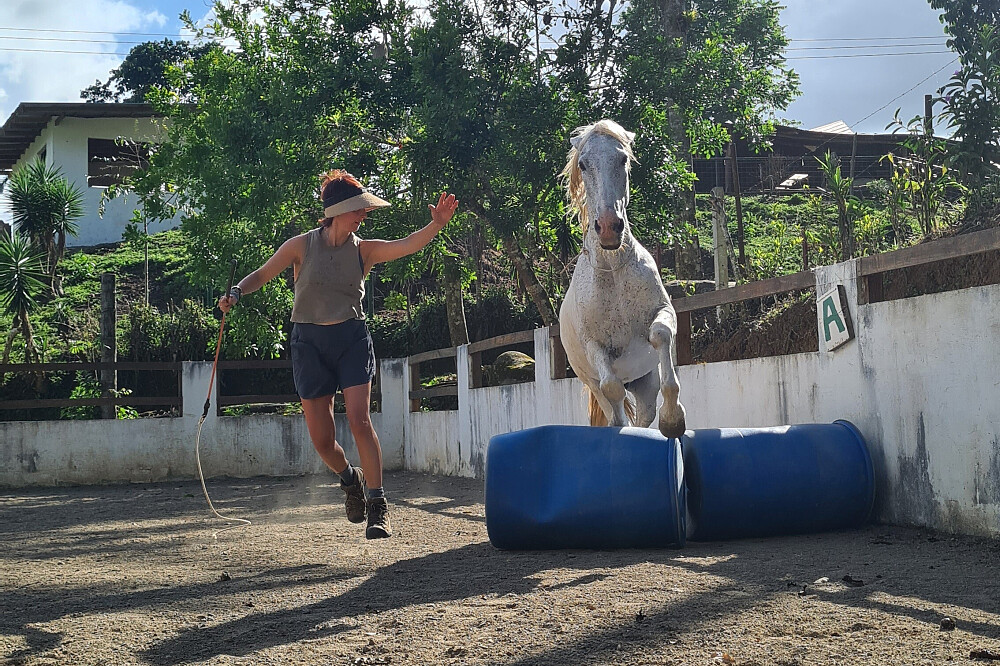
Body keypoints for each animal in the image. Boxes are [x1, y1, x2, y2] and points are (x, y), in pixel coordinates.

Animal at [557, 119, 687, 438]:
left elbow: (660, 335)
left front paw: (673, 419)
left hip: (644, 381)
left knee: (645, 413)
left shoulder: (663, 313)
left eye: (623, 159)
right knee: (613, 405)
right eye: (583, 164)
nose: (608, 227)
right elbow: (612, 387)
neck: (612, 271)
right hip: (593, 384)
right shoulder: (594, 346)